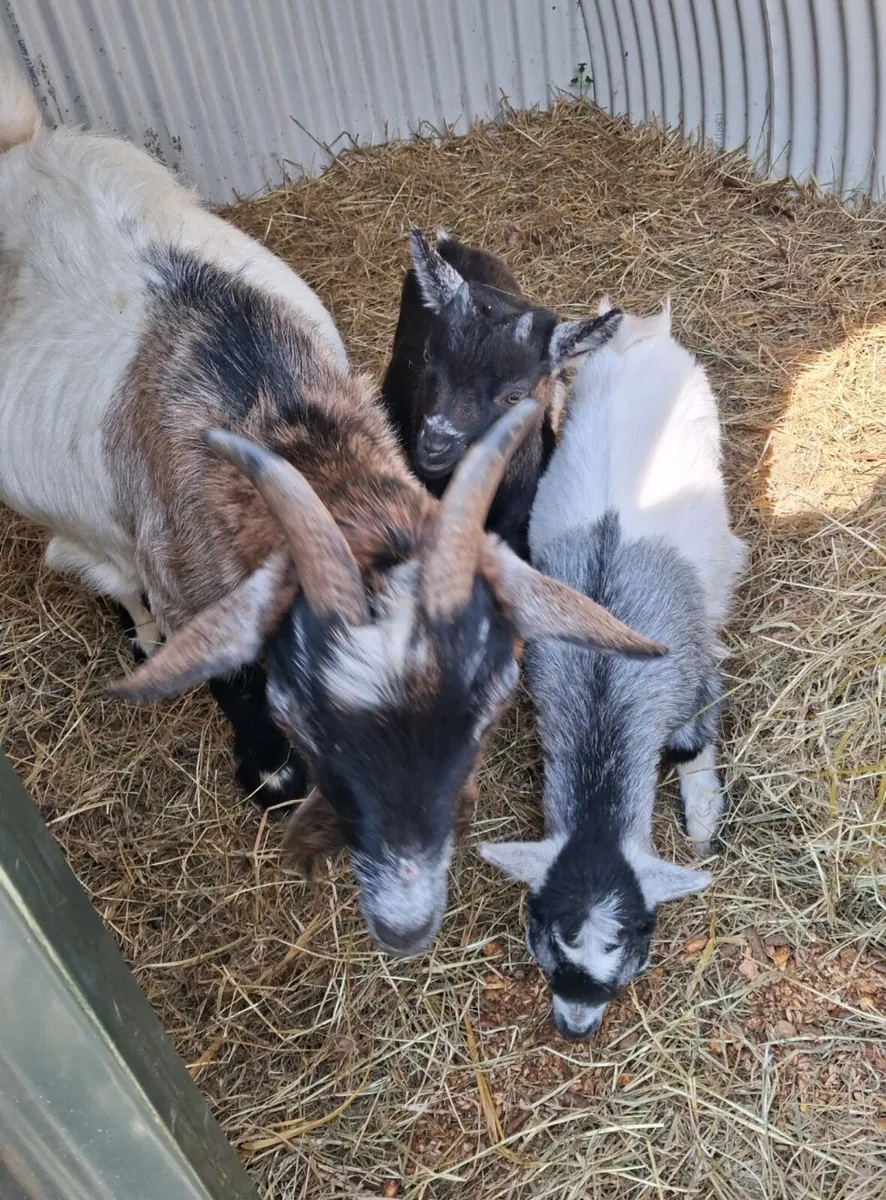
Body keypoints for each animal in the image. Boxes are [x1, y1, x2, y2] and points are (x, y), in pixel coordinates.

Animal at [481, 301, 745, 1036]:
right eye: (543, 937)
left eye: (633, 942)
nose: (575, 1025)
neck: (605, 685)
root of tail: (640, 336)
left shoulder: (692, 673)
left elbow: (690, 742)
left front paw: (703, 820)